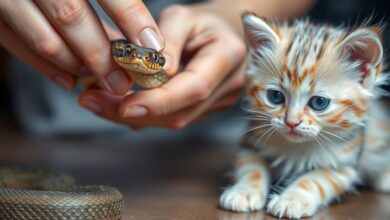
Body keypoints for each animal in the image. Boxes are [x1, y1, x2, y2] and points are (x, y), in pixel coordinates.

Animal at [219, 13, 390, 218]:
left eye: (319, 102)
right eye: (275, 96)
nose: (291, 122)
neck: (297, 148)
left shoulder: (344, 165)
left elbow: (314, 180)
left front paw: (291, 200)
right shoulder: (251, 144)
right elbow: (251, 168)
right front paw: (243, 191)